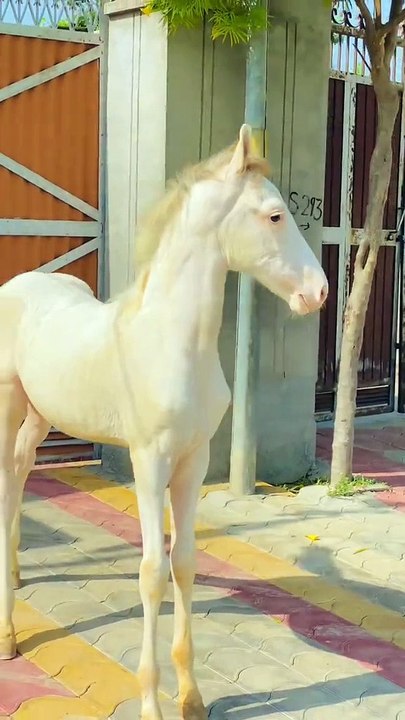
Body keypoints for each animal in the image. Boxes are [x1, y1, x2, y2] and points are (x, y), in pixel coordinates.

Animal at [0, 125, 328, 720]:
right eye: (274, 215)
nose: (317, 292)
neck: (174, 341)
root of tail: (19, 284)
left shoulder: (193, 460)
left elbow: (186, 563)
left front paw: (191, 696)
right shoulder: (148, 461)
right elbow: (152, 570)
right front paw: (152, 701)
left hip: (39, 417)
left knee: (18, 480)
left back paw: (14, 575)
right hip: (8, 405)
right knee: (5, 491)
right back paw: (8, 634)